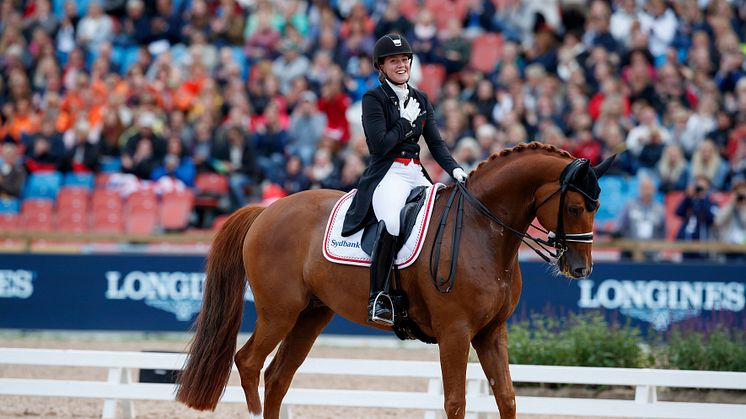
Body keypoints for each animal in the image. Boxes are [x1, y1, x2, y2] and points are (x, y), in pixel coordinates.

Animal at [177, 143, 612, 418]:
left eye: (597, 206)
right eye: (576, 207)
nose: (581, 269)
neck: (482, 229)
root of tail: (266, 210)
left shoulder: (492, 332)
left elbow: (506, 398)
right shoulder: (455, 332)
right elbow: (456, 402)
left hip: (311, 316)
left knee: (277, 377)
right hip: (278, 312)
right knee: (249, 363)